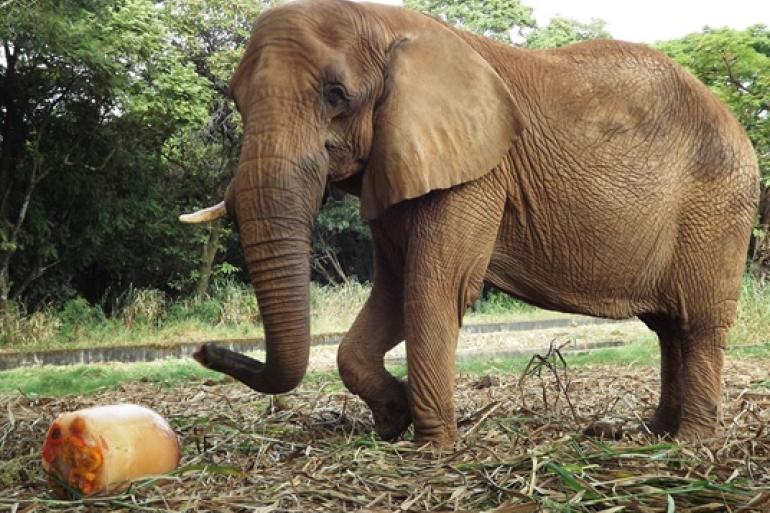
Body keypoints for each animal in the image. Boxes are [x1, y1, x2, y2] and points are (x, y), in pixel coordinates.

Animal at [180, 0, 759, 446]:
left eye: (336, 96)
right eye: (236, 101)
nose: (202, 349)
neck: (384, 23)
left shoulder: (477, 173)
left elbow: (433, 287)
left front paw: (432, 447)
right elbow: (393, 289)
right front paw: (392, 421)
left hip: (718, 207)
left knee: (699, 322)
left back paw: (689, 442)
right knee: (669, 327)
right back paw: (646, 431)